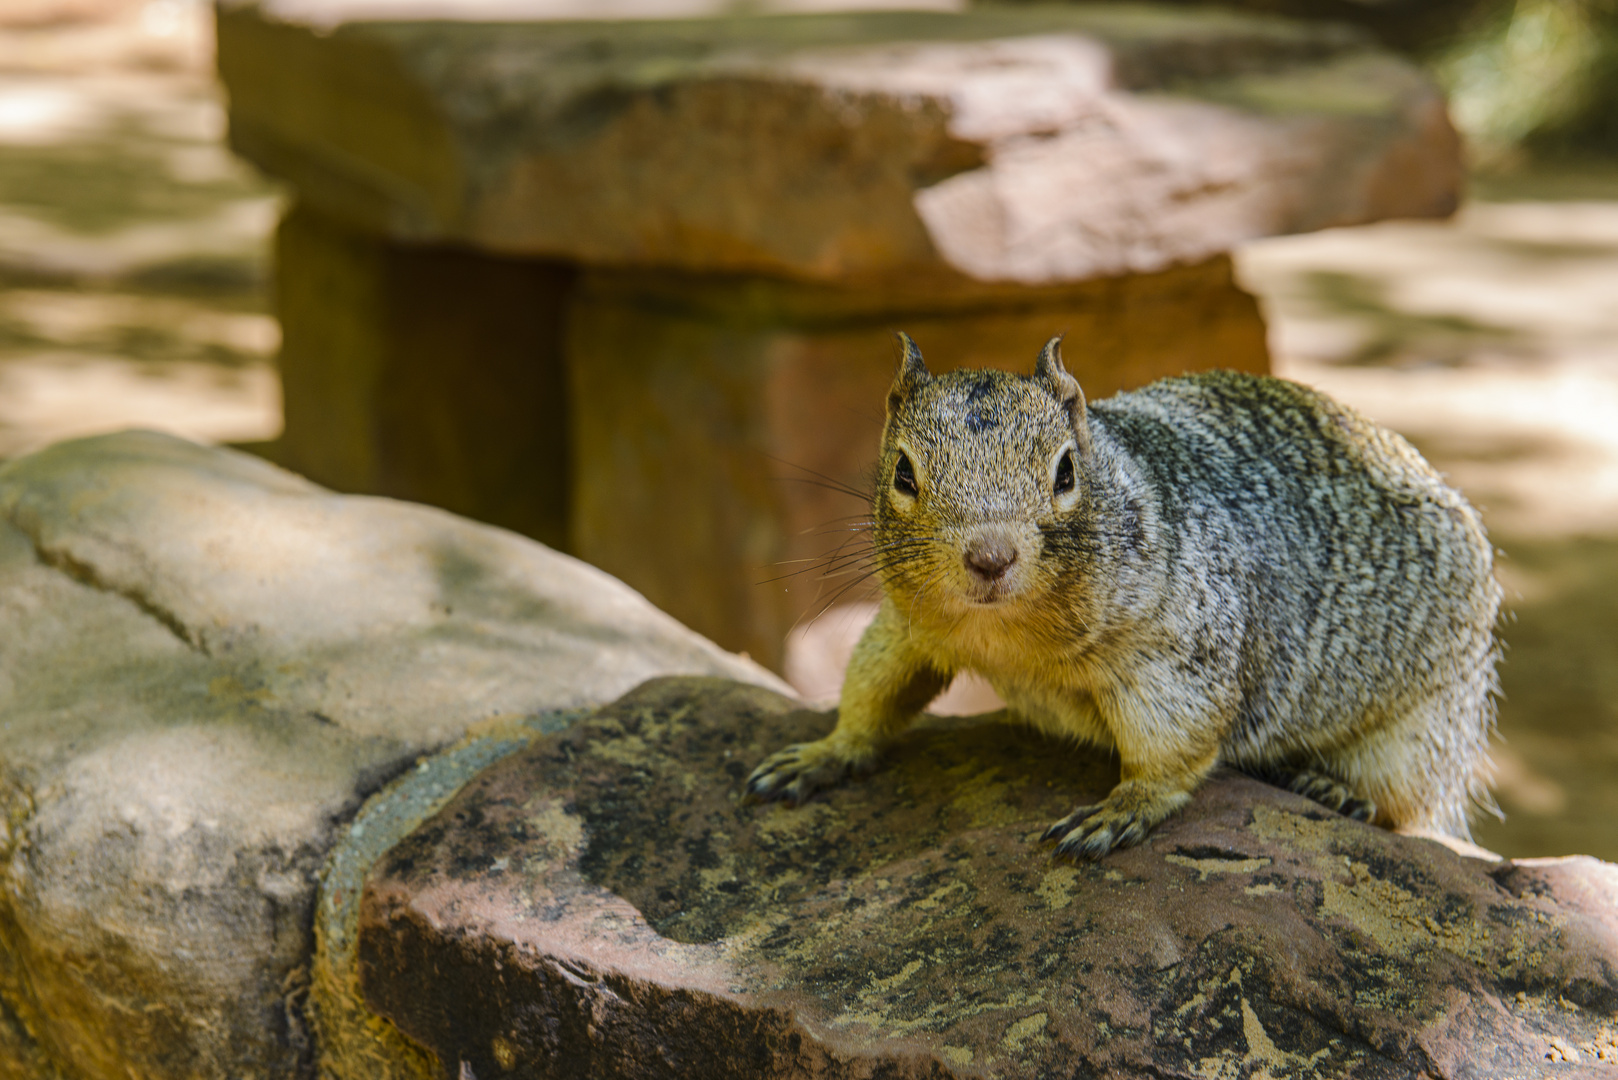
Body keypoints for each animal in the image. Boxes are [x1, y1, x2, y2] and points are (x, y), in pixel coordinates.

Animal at [744, 333, 1501, 854]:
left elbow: (1172, 750)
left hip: (1421, 730)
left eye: (1066, 472)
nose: (989, 557)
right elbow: (872, 692)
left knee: (1407, 805)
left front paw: (1122, 809)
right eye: (903, 472)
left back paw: (1335, 788)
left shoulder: (1177, 656)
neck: (1004, 636)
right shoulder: (904, 629)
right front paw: (821, 754)